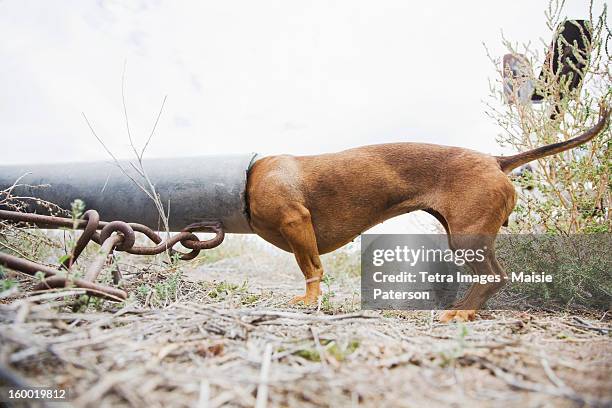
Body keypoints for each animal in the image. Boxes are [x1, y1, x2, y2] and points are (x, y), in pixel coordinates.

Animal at [246, 106, 608, 322]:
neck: (251, 173)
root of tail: (494, 159)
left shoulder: (296, 223)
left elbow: (312, 269)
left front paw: (309, 302)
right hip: (465, 237)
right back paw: (462, 308)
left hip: (466, 238)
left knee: (494, 277)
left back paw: (462, 314)